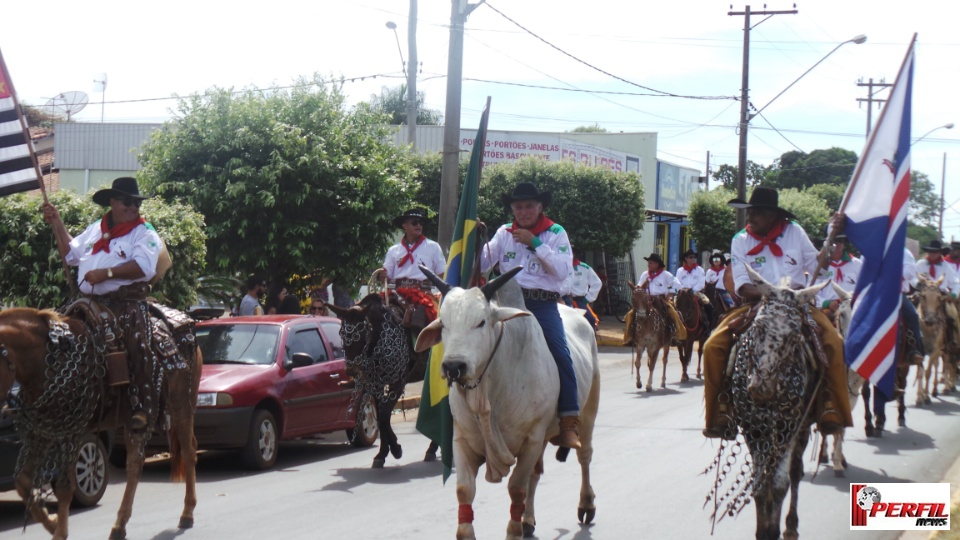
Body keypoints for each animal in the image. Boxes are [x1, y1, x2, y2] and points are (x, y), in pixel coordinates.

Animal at [0, 308, 198, 540]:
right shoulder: (43, 434)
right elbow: (22, 482)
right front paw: (51, 521)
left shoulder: (72, 433)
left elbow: (65, 488)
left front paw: (59, 531)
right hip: (133, 420)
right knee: (135, 464)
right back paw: (120, 525)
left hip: (181, 404)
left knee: (188, 452)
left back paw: (187, 513)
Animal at [326, 292, 438, 468]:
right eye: (342, 334)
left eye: (362, 334)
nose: (352, 370)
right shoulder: (376, 384)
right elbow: (380, 415)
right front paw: (383, 452)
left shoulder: (398, 383)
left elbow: (385, 415)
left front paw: (396, 449)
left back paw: (433, 448)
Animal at [700, 266, 828, 540]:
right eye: (758, 326)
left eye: (794, 335)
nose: (761, 388)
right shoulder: (753, 428)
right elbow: (760, 485)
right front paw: (764, 529)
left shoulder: (788, 428)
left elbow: (779, 484)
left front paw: (774, 528)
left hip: (801, 427)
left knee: (795, 472)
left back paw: (790, 525)